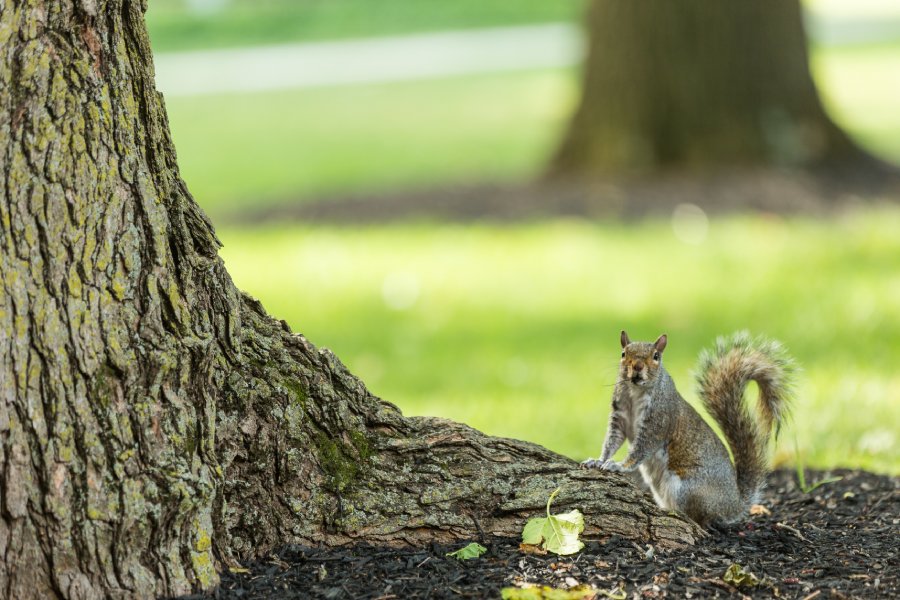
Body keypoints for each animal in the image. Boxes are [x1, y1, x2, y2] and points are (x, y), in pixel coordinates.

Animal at [584, 328, 796, 524]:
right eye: (623, 353)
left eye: (656, 356)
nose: (637, 366)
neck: (636, 392)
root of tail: (734, 503)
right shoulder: (619, 418)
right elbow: (612, 442)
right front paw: (598, 460)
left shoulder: (658, 422)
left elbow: (639, 451)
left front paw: (619, 465)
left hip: (687, 490)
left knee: (700, 519)